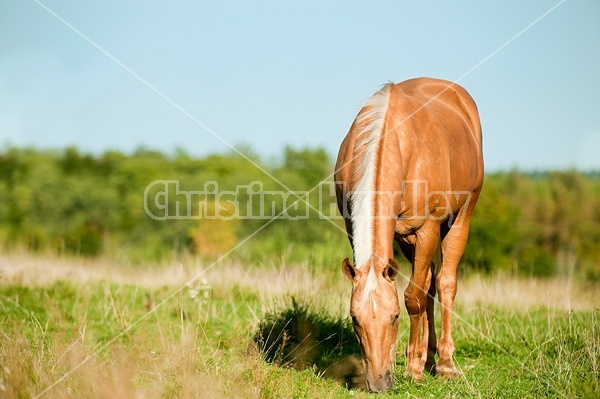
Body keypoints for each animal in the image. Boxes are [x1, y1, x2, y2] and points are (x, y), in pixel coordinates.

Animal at [336, 76, 486, 392]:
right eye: (355, 319)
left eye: (394, 317)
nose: (379, 382)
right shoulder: (352, 226)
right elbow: (419, 291)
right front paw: (415, 362)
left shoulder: (427, 229)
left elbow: (412, 298)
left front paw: (414, 371)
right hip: (407, 241)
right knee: (429, 282)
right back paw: (428, 356)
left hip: (460, 219)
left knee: (445, 283)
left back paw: (444, 364)